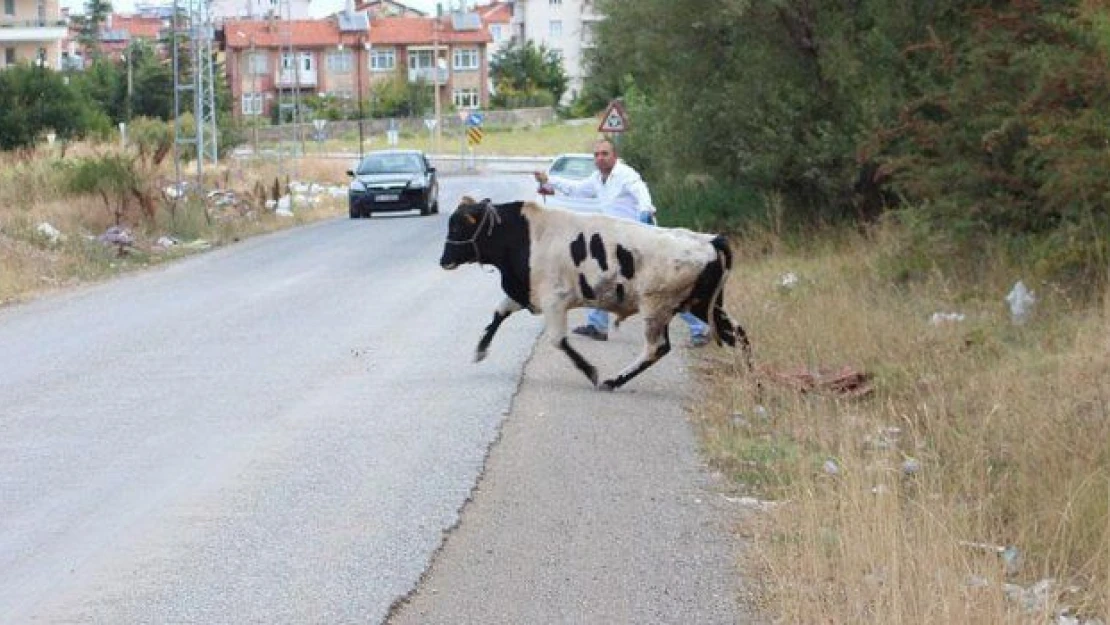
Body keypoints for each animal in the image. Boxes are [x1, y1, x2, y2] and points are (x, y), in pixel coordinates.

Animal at [437, 197, 750, 388]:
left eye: (458, 226)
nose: (443, 260)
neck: (524, 234)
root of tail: (708, 240)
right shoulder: (522, 291)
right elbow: (498, 314)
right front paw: (480, 349)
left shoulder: (553, 301)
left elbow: (558, 341)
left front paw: (591, 371)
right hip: (703, 306)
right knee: (738, 334)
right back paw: (752, 380)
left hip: (657, 308)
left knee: (656, 348)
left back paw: (614, 380)